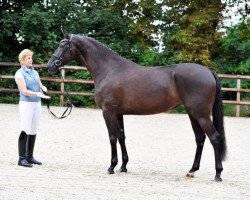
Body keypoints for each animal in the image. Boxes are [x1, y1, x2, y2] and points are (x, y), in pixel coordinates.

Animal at [46, 28, 227, 182]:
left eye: (63, 45)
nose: (49, 66)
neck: (110, 70)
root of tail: (208, 71)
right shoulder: (118, 113)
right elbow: (121, 137)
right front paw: (123, 166)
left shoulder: (108, 112)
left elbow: (112, 138)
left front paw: (111, 167)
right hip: (192, 114)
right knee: (200, 139)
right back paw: (192, 170)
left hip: (201, 114)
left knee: (215, 137)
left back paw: (218, 174)